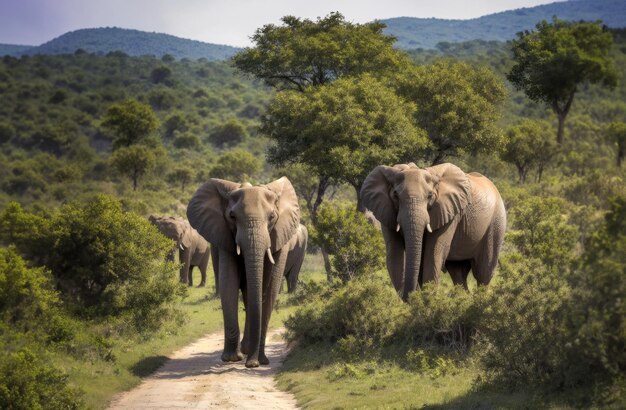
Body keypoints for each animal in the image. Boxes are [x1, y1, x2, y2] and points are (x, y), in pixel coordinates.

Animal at [186, 176, 306, 368]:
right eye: (232, 217)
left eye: (272, 217)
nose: (252, 364)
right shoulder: (223, 235)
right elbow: (229, 282)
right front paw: (231, 358)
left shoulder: (280, 237)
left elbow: (269, 289)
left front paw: (261, 361)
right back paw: (245, 351)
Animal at [358, 162, 504, 300]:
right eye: (395, 196)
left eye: (429, 196)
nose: (411, 294)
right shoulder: (386, 212)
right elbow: (394, 253)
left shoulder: (449, 212)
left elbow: (434, 253)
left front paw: (426, 300)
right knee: (458, 272)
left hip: (496, 224)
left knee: (483, 272)